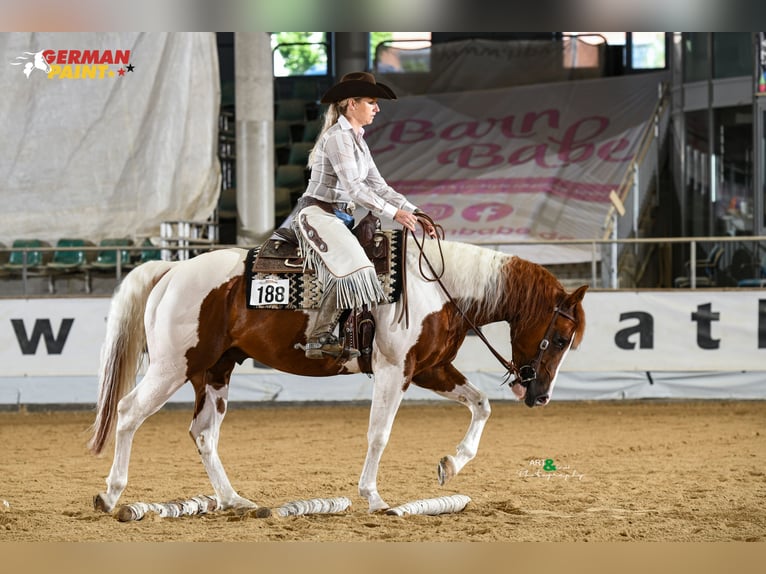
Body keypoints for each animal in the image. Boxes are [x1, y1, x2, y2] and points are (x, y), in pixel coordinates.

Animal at [89, 234, 587, 514]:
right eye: (562, 338)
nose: (540, 395)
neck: (438, 289)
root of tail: (173, 270)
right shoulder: (394, 371)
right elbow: (379, 434)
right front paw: (373, 497)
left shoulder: (429, 369)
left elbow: (480, 404)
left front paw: (451, 463)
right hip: (174, 366)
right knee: (129, 413)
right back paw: (111, 495)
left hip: (215, 371)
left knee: (204, 433)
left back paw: (233, 501)